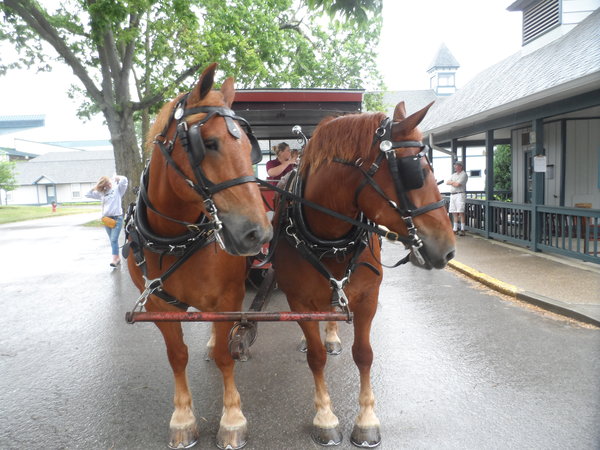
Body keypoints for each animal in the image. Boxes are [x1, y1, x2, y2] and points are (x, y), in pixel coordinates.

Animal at [126, 64, 272, 450]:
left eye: (249, 147)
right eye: (208, 143)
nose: (259, 233)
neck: (173, 238)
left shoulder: (229, 297)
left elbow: (225, 355)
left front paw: (232, 418)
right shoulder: (159, 304)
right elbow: (177, 356)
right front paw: (182, 417)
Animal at [272, 102, 454, 446]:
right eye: (417, 173)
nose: (449, 249)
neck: (331, 238)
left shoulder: (368, 297)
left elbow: (364, 354)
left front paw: (367, 419)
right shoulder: (299, 301)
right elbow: (316, 357)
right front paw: (325, 417)